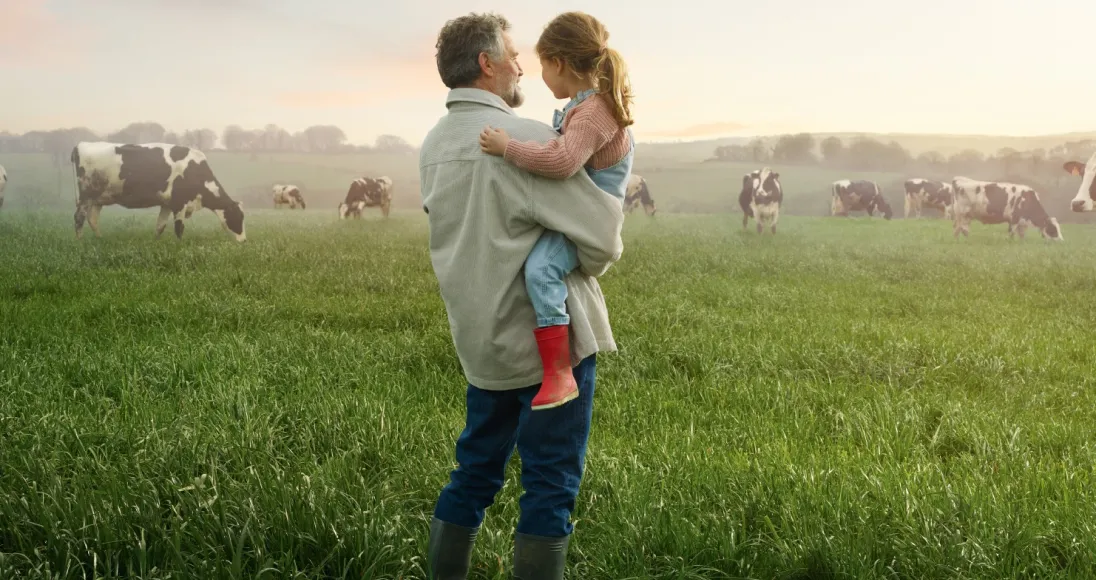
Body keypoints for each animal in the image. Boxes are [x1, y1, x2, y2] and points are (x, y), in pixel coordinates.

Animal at [71, 142, 247, 242]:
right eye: (238, 217)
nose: (244, 241)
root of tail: (81, 144)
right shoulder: (179, 203)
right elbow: (179, 228)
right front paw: (180, 245)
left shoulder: (167, 203)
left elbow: (160, 226)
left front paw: (155, 242)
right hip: (85, 196)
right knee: (79, 217)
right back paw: (80, 241)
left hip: (97, 199)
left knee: (92, 219)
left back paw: (100, 239)